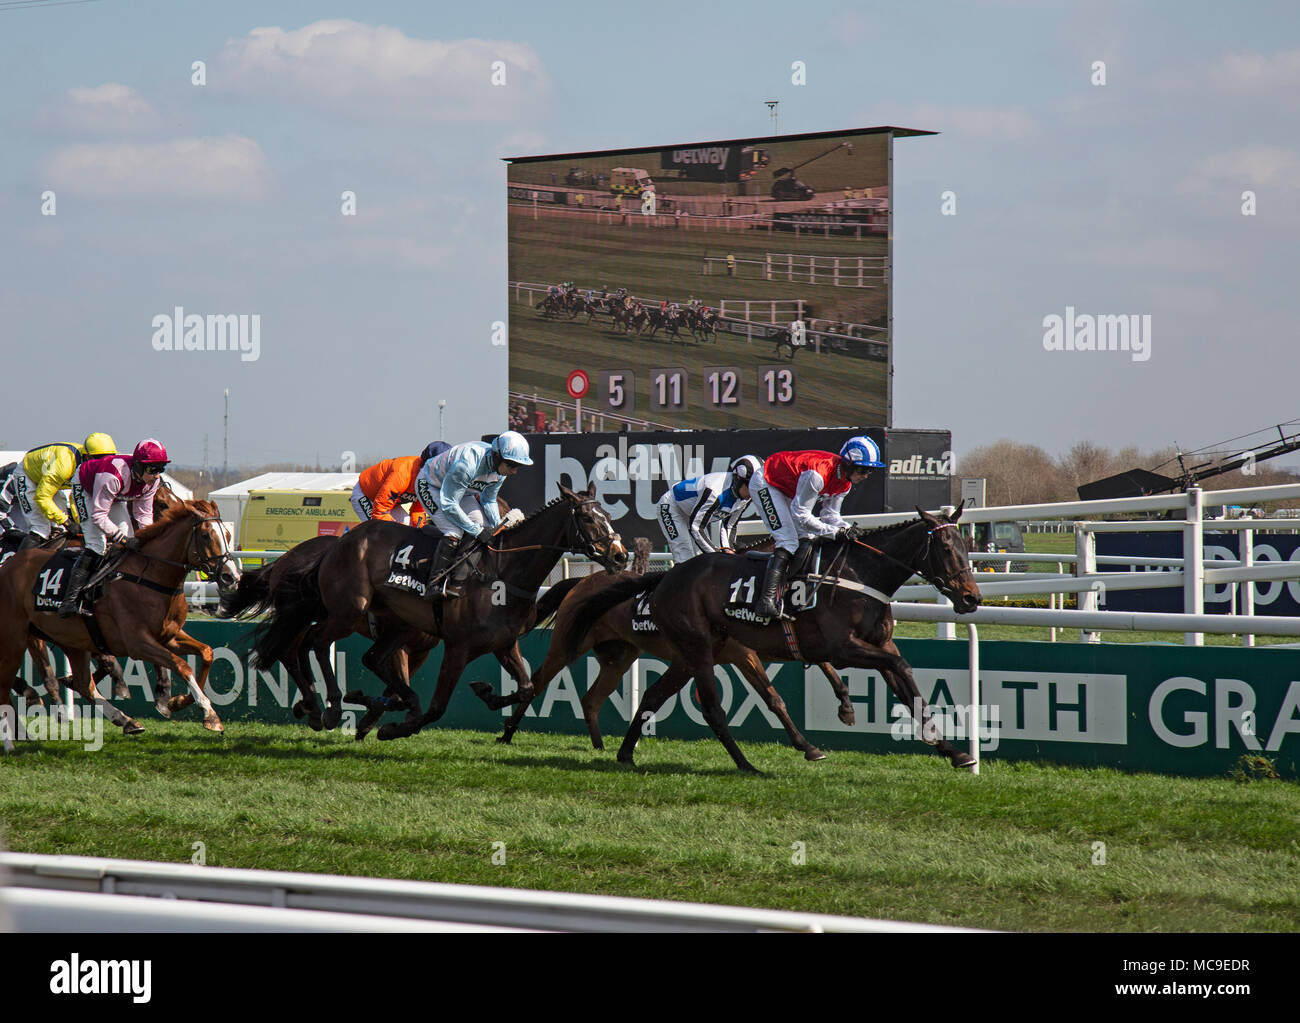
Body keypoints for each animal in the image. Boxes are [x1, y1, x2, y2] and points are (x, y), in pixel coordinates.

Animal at [0, 499, 239, 748]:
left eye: (227, 534)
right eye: (205, 535)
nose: (231, 577)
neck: (149, 577)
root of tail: (7, 566)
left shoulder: (169, 636)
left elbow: (207, 653)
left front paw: (179, 702)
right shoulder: (136, 643)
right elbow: (182, 666)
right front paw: (208, 713)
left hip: (71, 640)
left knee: (84, 684)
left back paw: (126, 720)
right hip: (15, 638)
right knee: (5, 686)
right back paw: (12, 740)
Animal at [249, 488, 629, 743]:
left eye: (609, 517)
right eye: (588, 518)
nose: (621, 555)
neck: (502, 572)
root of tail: (336, 545)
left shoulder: (503, 644)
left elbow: (525, 688)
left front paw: (486, 692)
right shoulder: (456, 647)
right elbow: (436, 707)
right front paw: (392, 727)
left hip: (391, 623)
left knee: (340, 652)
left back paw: (318, 706)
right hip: (347, 610)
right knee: (311, 643)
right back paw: (327, 707)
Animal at [564, 506, 977, 779]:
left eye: (965, 546)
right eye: (945, 548)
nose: (971, 598)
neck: (860, 575)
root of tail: (665, 577)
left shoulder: (880, 646)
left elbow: (906, 684)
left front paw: (954, 752)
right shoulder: (841, 647)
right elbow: (900, 668)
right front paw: (935, 740)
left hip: (691, 654)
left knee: (653, 695)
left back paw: (625, 754)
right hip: (698, 649)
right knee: (711, 709)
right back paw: (746, 764)